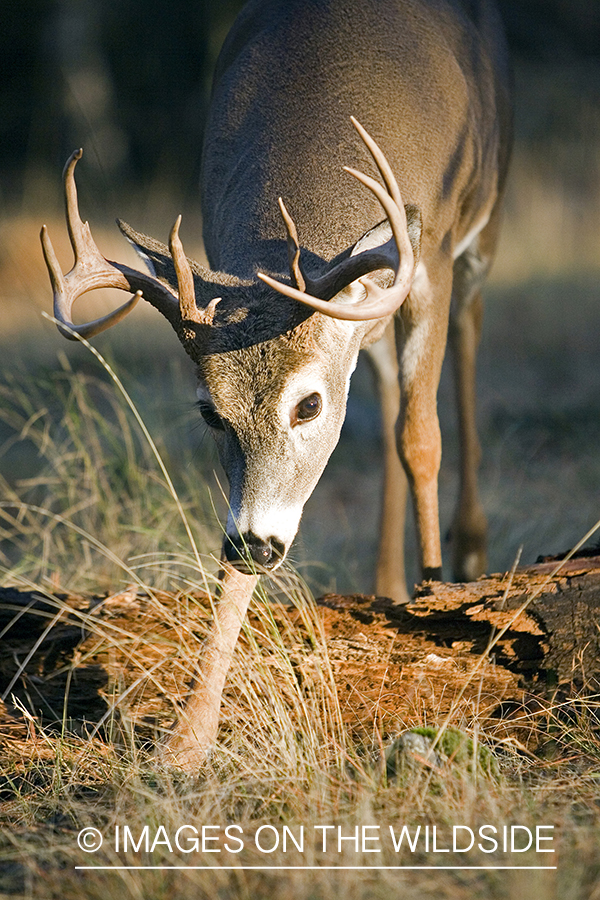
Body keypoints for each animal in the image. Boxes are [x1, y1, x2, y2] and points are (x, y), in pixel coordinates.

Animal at [42, 1, 510, 768]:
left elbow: (422, 437)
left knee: (466, 344)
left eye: (308, 405)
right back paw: (385, 579)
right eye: (210, 412)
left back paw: (465, 553)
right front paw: (187, 740)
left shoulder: (430, 256)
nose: (257, 543)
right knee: (387, 388)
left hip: (483, 217)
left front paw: (437, 598)